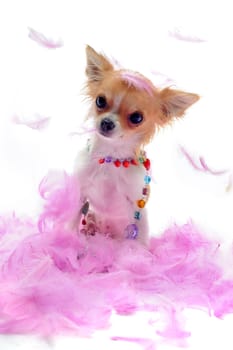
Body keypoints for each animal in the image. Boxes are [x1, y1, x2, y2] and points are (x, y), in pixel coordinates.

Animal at [73, 45, 199, 243]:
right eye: (100, 101)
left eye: (136, 118)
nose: (106, 123)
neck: (111, 157)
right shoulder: (80, 192)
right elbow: (68, 222)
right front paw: (63, 240)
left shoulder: (137, 208)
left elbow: (139, 241)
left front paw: (136, 253)